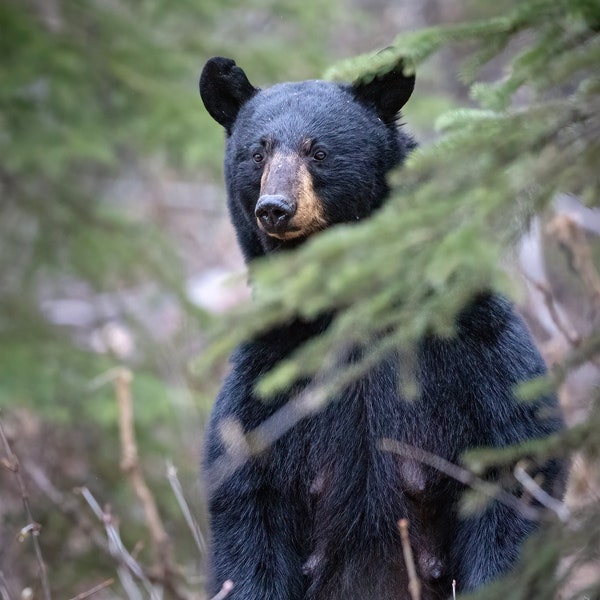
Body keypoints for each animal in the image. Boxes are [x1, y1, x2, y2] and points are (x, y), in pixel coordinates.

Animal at [199, 57, 564, 600]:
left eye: (318, 151)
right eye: (256, 152)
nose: (275, 208)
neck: (353, 306)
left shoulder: (474, 345)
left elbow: (513, 467)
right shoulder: (268, 375)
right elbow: (248, 503)